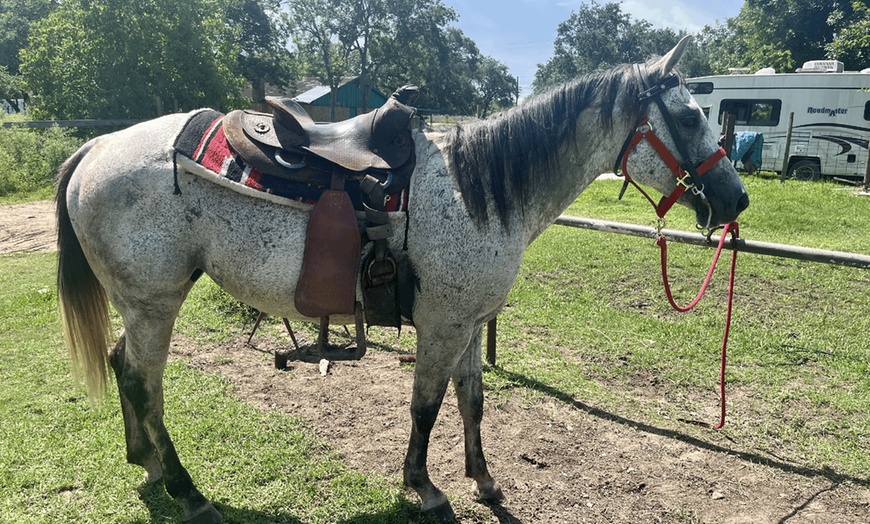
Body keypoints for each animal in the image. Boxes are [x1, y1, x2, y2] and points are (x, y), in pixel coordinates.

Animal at [55, 37, 748, 523]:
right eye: (691, 118)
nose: (735, 199)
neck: (478, 192)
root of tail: (95, 150)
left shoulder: (468, 324)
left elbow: (471, 401)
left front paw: (483, 480)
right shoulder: (442, 325)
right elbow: (426, 405)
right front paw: (426, 487)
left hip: (140, 303)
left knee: (121, 365)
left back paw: (145, 463)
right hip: (154, 301)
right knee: (142, 383)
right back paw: (187, 490)